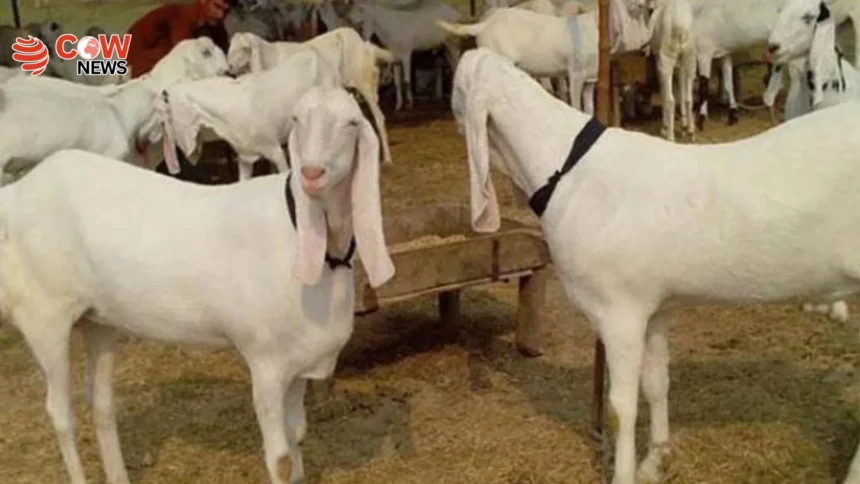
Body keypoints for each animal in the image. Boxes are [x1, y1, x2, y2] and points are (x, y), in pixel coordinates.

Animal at [0, 85, 394, 484]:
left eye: (351, 123)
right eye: (297, 120)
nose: (312, 173)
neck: (302, 233)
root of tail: (17, 194)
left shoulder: (299, 362)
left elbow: (298, 439)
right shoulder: (266, 363)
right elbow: (282, 459)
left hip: (98, 320)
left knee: (101, 404)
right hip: (44, 316)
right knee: (60, 414)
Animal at [452, 47, 860, 484]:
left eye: (457, 89)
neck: (569, 171)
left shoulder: (620, 312)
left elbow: (620, 408)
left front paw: (624, 473)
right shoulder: (655, 307)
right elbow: (656, 383)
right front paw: (655, 460)